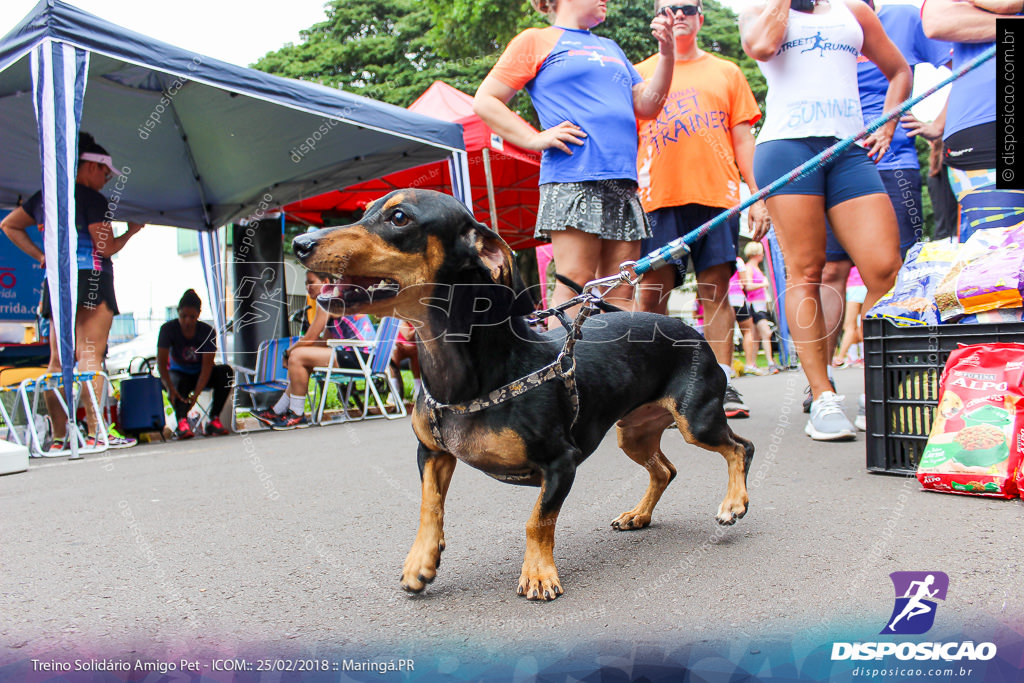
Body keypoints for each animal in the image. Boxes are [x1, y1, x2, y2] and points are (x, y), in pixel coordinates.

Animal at [292, 189, 757, 602]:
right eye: (364, 210)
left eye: (399, 217)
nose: (299, 244)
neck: (470, 374)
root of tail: (686, 327)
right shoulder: (432, 453)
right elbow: (430, 507)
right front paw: (420, 562)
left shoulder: (561, 464)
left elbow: (538, 521)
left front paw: (538, 573)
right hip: (633, 434)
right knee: (665, 470)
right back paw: (638, 515)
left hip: (696, 420)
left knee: (740, 448)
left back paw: (734, 503)